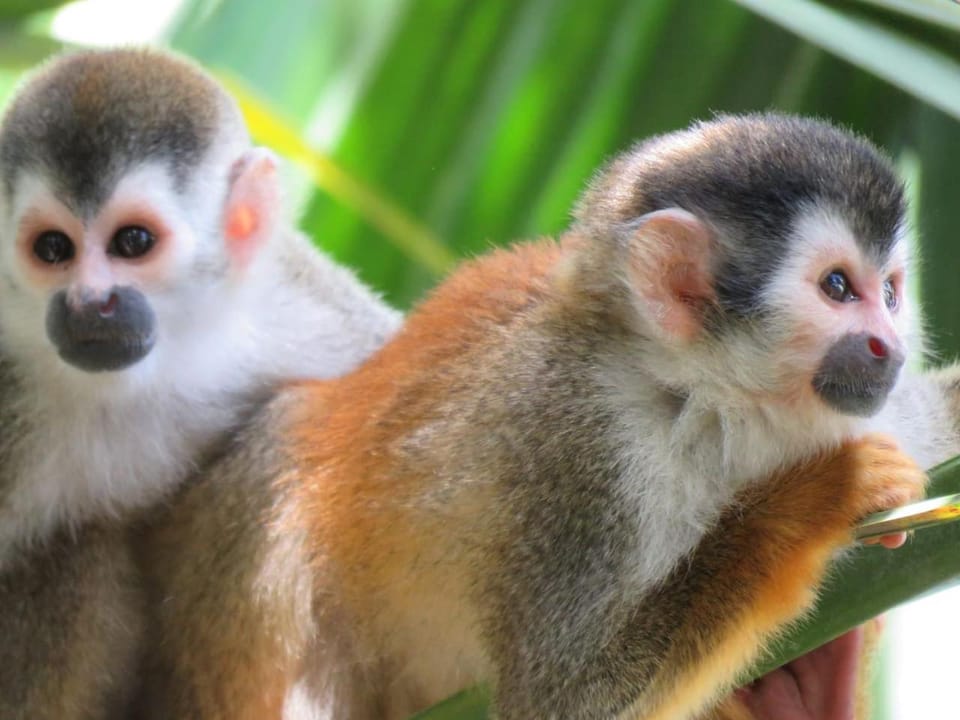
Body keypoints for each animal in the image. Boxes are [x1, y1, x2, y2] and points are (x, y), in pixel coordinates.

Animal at [133, 112, 960, 720]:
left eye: (890, 291)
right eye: (837, 288)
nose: (886, 345)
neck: (722, 402)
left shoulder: (897, 414)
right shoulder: (581, 451)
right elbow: (563, 700)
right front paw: (805, 506)